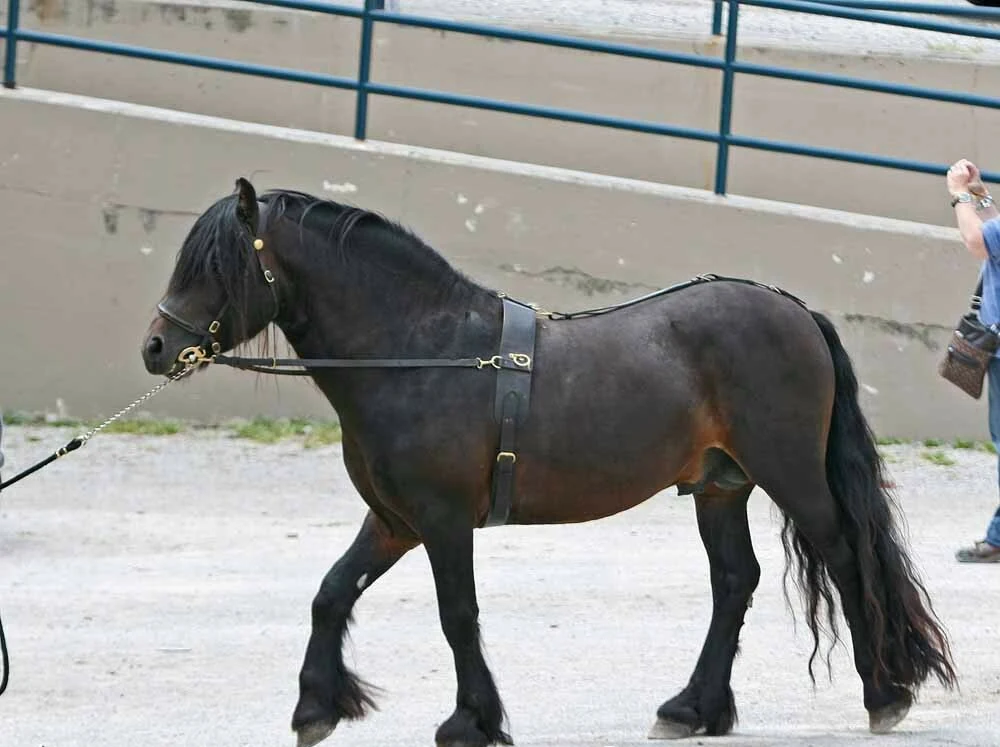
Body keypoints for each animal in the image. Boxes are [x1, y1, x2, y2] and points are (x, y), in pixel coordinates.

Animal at [140, 177, 956, 747]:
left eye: (217, 266)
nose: (155, 346)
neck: (422, 351)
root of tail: (794, 311)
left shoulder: (441, 521)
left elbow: (457, 615)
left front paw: (472, 720)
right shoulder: (394, 519)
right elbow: (331, 593)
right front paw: (316, 705)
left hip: (791, 475)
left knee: (846, 558)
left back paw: (884, 694)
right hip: (720, 486)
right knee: (734, 582)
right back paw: (692, 708)